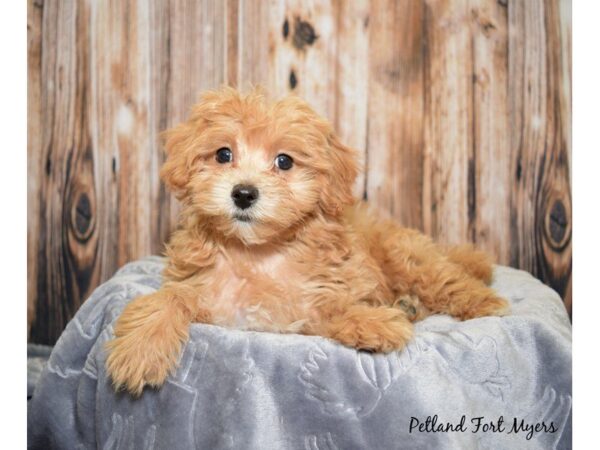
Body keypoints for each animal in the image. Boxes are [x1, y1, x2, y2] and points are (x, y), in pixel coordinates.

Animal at [105, 87, 508, 394]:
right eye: (223, 154)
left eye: (284, 161)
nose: (244, 193)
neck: (255, 253)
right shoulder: (205, 294)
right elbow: (166, 300)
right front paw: (139, 350)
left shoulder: (319, 291)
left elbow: (333, 306)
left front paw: (373, 322)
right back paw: (408, 306)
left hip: (407, 256)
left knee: (448, 279)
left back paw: (484, 302)